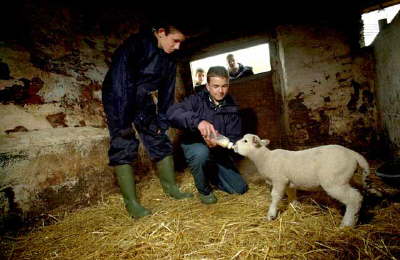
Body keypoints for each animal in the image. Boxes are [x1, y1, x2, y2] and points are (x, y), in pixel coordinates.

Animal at [233, 133, 374, 226]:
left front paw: (271, 214)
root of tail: (353, 154)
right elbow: (291, 193)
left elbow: (275, 196)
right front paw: (295, 206)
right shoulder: (288, 181)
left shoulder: (279, 179)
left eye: (245, 141)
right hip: (344, 180)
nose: (234, 146)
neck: (265, 158)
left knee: (354, 199)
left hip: (335, 181)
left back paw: (346, 224)